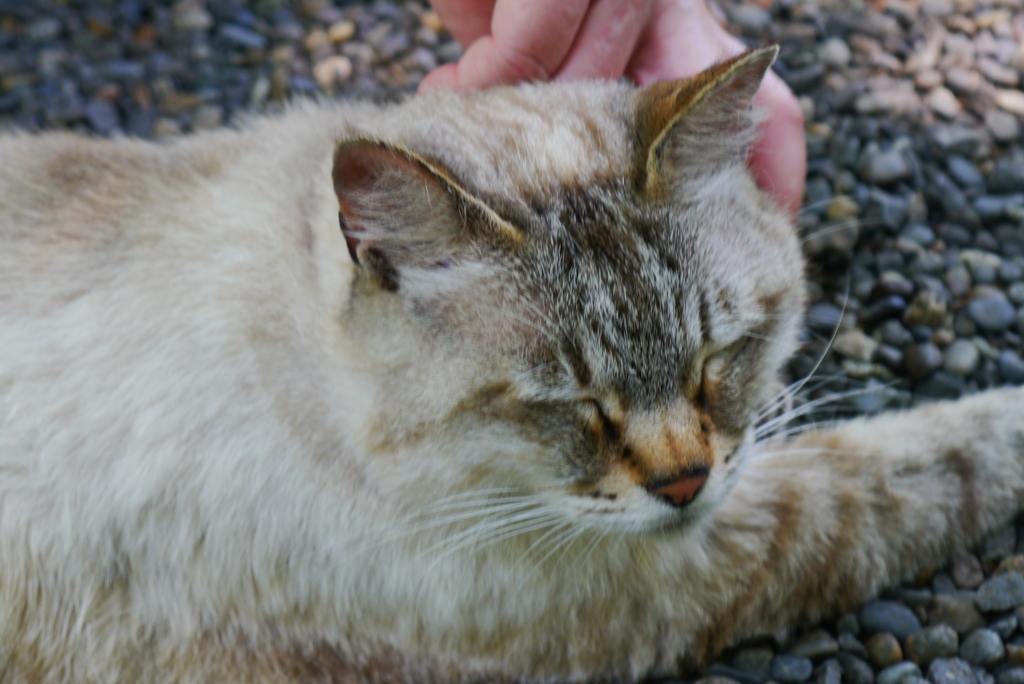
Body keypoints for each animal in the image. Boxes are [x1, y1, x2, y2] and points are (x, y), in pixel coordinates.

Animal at [2, 45, 1024, 679]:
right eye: (571, 404)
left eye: (715, 359)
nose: (685, 484)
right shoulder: (629, 573)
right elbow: (907, 474)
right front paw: (1007, 416)